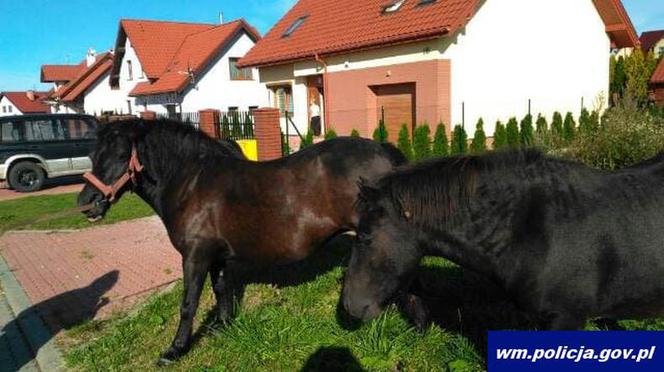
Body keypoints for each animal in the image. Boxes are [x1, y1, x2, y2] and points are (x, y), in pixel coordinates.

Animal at [75, 119, 402, 364]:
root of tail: (382, 151)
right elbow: (221, 290)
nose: (86, 203)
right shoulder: (216, 256)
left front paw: (176, 349)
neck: (191, 182)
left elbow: (188, 304)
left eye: (120, 155)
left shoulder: (194, 256)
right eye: (93, 155)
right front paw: (222, 326)